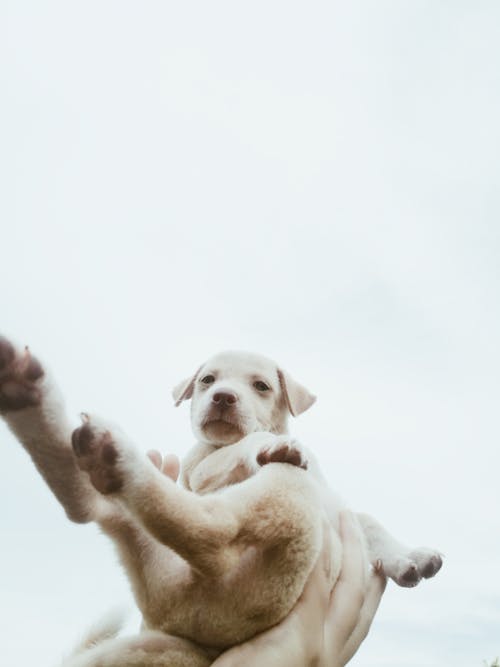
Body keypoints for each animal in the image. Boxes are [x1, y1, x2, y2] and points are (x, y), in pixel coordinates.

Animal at [0, 340, 442, 667]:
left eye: (261, 385)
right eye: (207, 380)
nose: (222, 397)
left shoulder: (337, 504)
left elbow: (370, 522)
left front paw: (411, 558)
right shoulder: (202, 469)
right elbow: (244, 447)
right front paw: (268, 445)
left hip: (141, 637)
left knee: (89, 505)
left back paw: (37, 401)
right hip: (284, 493)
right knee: (210, 533)